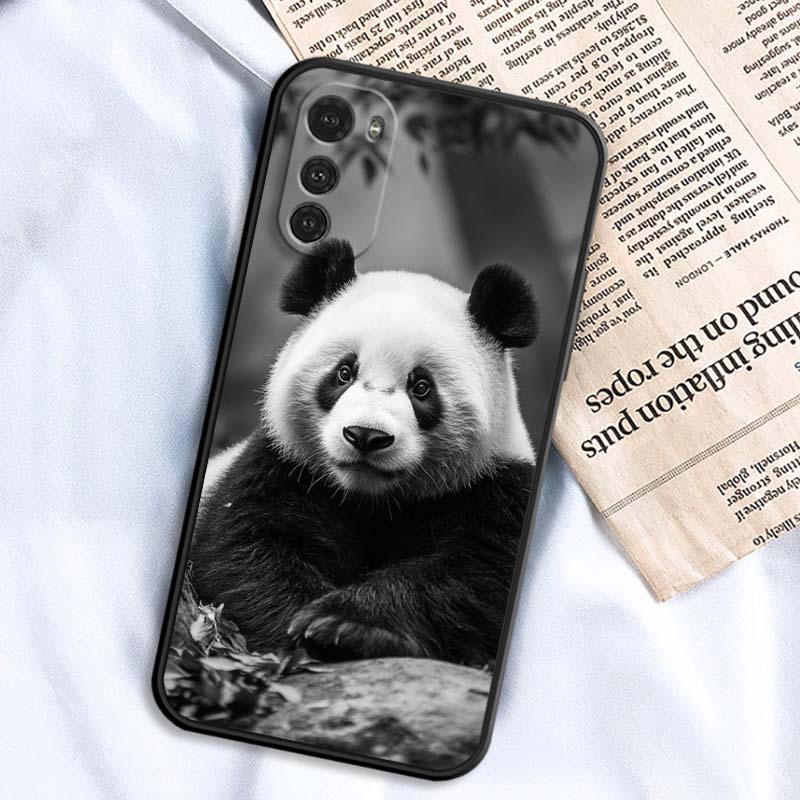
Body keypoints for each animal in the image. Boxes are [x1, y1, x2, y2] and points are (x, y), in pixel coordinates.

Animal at [189, 239, 539, 667]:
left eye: (421, 387)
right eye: (343, 373)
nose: (366, 436)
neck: (372, 500)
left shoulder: (495, 489)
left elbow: (472, 574)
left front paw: (342, 625)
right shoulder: (284, 466)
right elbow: (250, 550)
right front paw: (300, 627)